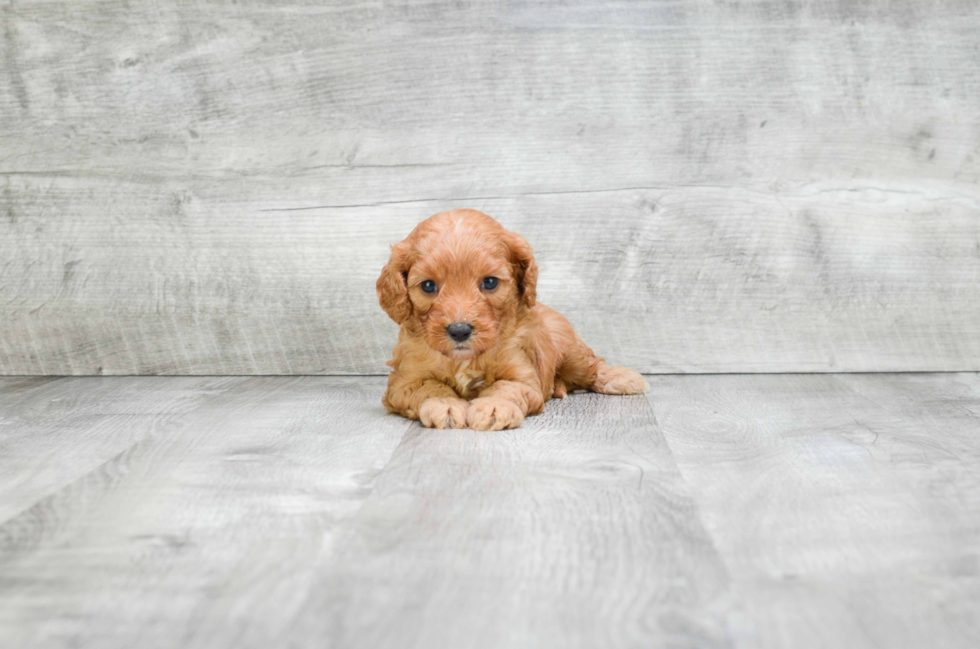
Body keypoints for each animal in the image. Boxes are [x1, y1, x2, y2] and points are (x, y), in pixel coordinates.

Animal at [378, 209, 648, 430]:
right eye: (428, 286)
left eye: (490, 282)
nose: (459, 330)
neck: (465, 359)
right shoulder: (403, 382)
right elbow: (428, 387)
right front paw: (444, 404)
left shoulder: (524, 377)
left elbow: (505, 388)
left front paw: (493, 407)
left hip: (570, 350)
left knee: (592, 366)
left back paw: (624, 379)